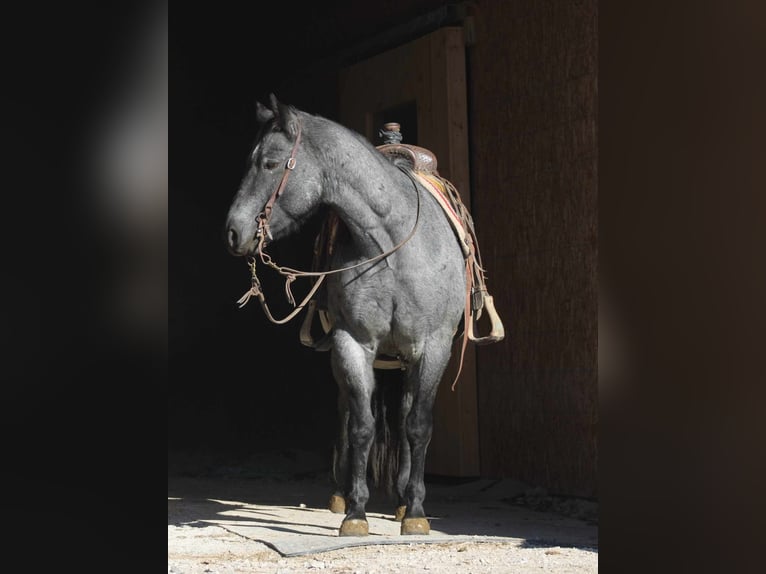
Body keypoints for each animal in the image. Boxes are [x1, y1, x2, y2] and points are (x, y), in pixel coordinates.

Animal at [226, 94, 504, 540]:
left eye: (269, 163)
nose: (233, 231)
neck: (392, 244)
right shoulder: (352, 343)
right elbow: (361, 425)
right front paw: (356, 511)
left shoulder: (433, 348)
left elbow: (417, 425)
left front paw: (416, 512)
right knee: (347, 413)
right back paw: (342, 494)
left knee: (406, 418)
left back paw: (405, 498)